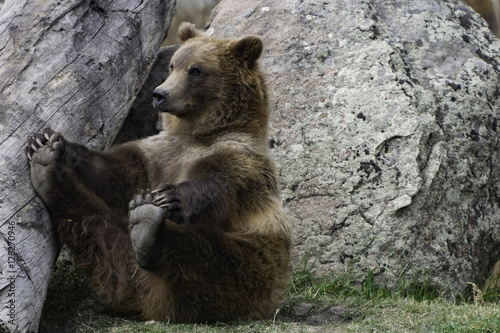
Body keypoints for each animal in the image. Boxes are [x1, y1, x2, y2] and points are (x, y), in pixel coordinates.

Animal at [26, 22, 292, 322]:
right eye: (173, 65)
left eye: (196, 70)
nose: (159, 94)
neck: (196, 134)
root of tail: (151, 300)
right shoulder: (157, 153)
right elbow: (113, 173)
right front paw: (47, 142)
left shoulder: (241, 159)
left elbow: (218, 185)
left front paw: (168, 196)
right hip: (123, 260)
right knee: (97, 228)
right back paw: (47, 171)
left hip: (259, 267)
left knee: (211, 256)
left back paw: (148, 225)